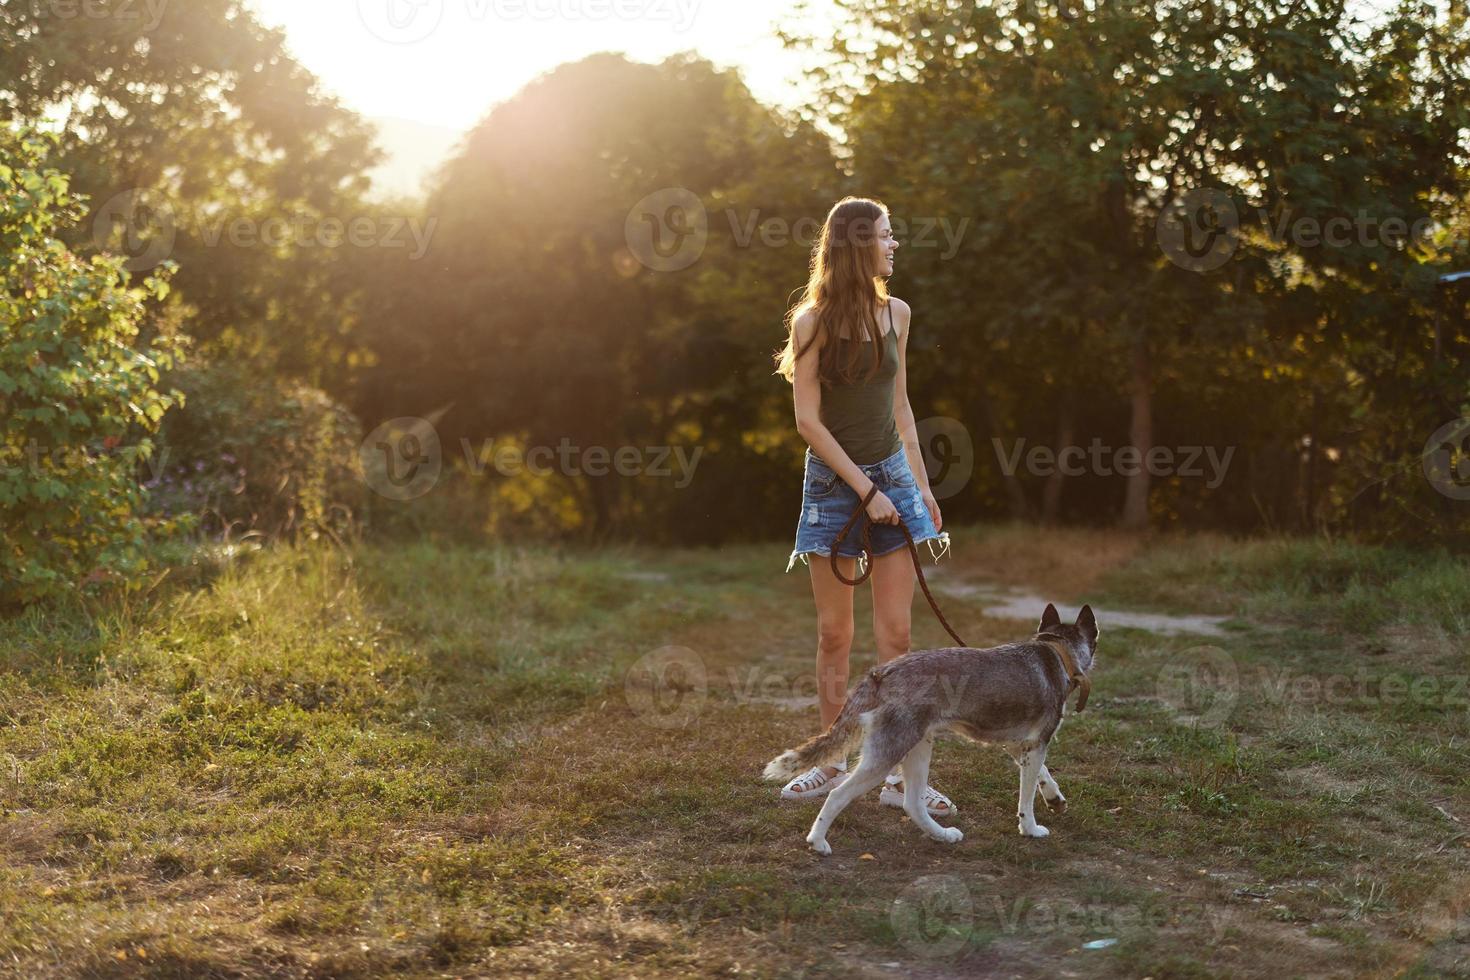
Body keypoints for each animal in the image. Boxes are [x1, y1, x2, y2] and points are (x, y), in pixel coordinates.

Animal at [764, 602, 1099, 852]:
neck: (1057, 653)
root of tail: (880, 673)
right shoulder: (1037, 743)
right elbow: (1026, 798)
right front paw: (1030, 828)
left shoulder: (1022, 745)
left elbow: (1043, 775)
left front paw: (1055, 799)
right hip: (885, 755)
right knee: (838, 795)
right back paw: (818, 841)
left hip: (918, 748)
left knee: (912, 804)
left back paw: (943, 835)